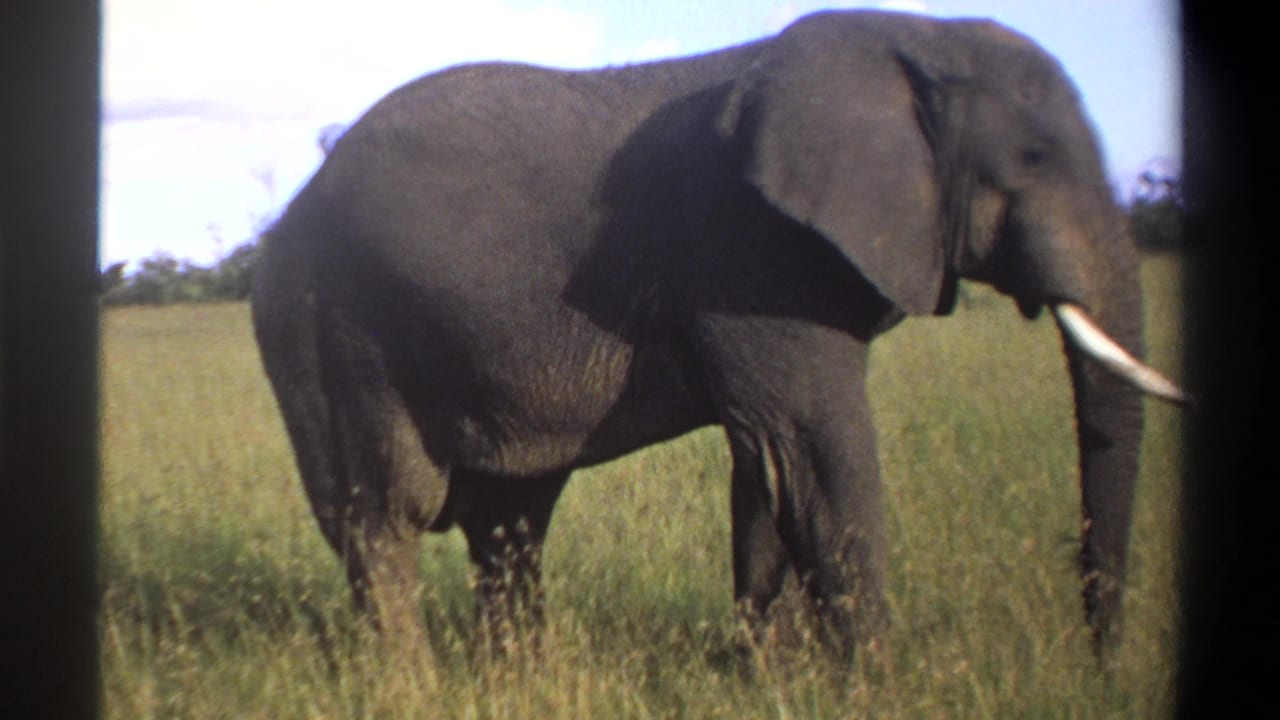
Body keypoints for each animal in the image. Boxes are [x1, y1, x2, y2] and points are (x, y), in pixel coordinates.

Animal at [251, 9, 1187, 661]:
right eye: (1033, 159)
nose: (1100, 666)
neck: (911, 34)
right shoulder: (751, 250)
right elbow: (815, 451)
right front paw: (879, 685)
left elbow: (769, 465)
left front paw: (769, 675)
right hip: (329, 324)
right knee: (384, 517)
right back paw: (414, 685)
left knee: (511, 521)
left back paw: (519, 679)